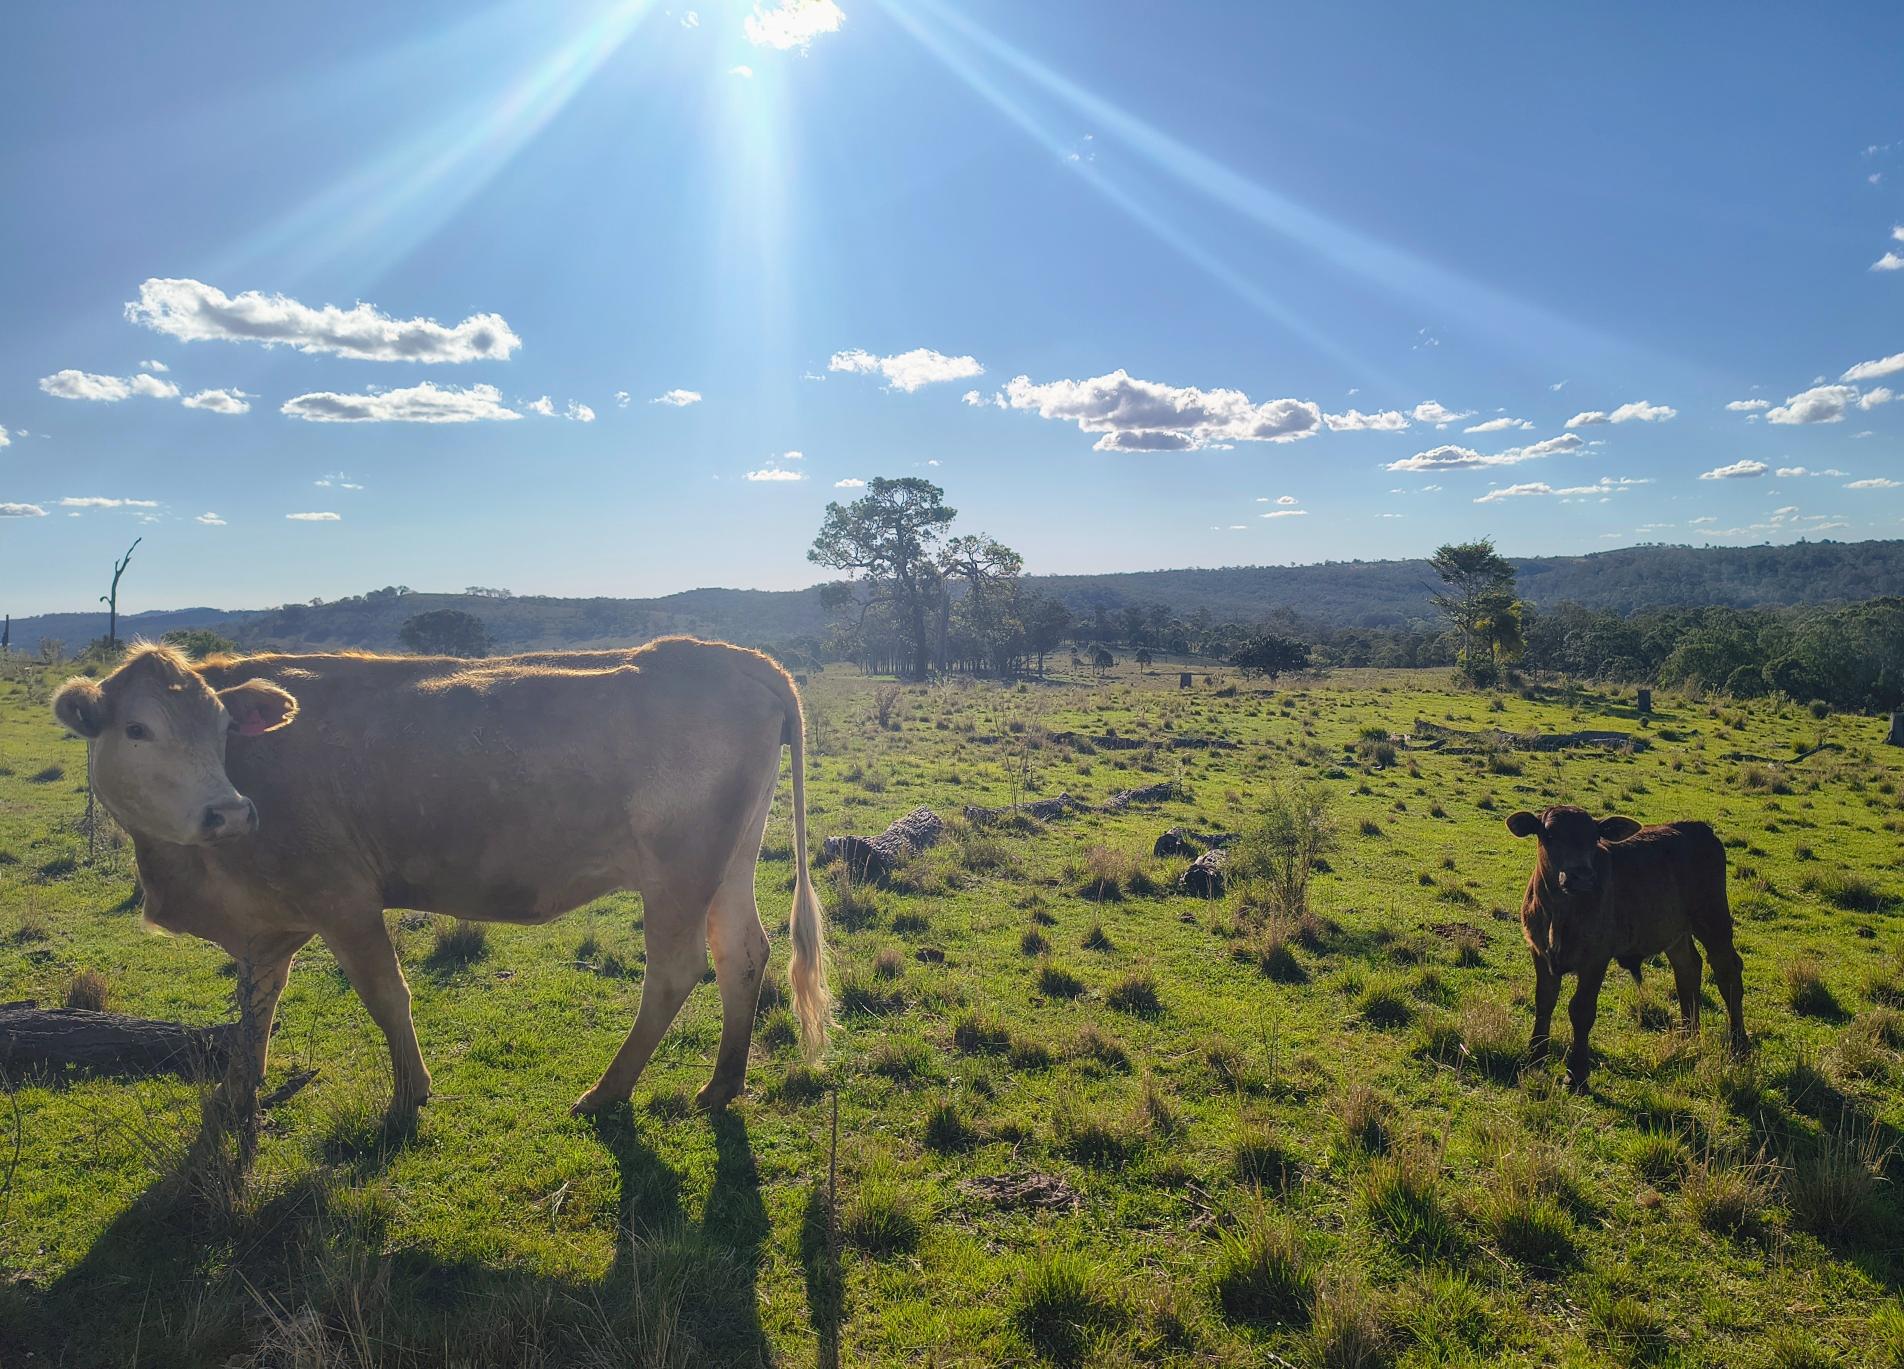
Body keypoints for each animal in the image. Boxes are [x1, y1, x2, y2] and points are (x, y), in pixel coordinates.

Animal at [51, 637, 829, 1121]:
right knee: (742, 953)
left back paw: (605, 1093)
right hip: (731, 861)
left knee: (674, 969)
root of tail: (735, 657)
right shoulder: (266, 922)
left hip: (677, 871)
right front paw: (241, 1092)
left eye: (221, 729)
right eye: (138, 729)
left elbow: (386, 995)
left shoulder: (343, 896)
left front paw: (408, 1095)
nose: (229, 810)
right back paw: (721, 1084)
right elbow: (255, 1008)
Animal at [1506, 805, 1746, 1089]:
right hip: (1675, 930)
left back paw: (1739, 1046)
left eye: (1594, 837)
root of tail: (1698, 827)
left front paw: (1577, 1074)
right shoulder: (1539, 952)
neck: (1559, 915)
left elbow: (1581, 1010)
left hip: (1713, 918)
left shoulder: (1596, 957)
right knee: (1688, 969)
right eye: (1550, 835)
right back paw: (1687, 1037)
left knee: (1727, 972)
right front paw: (1535, 1059)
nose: (1582, 876)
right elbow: (1544, 1001)